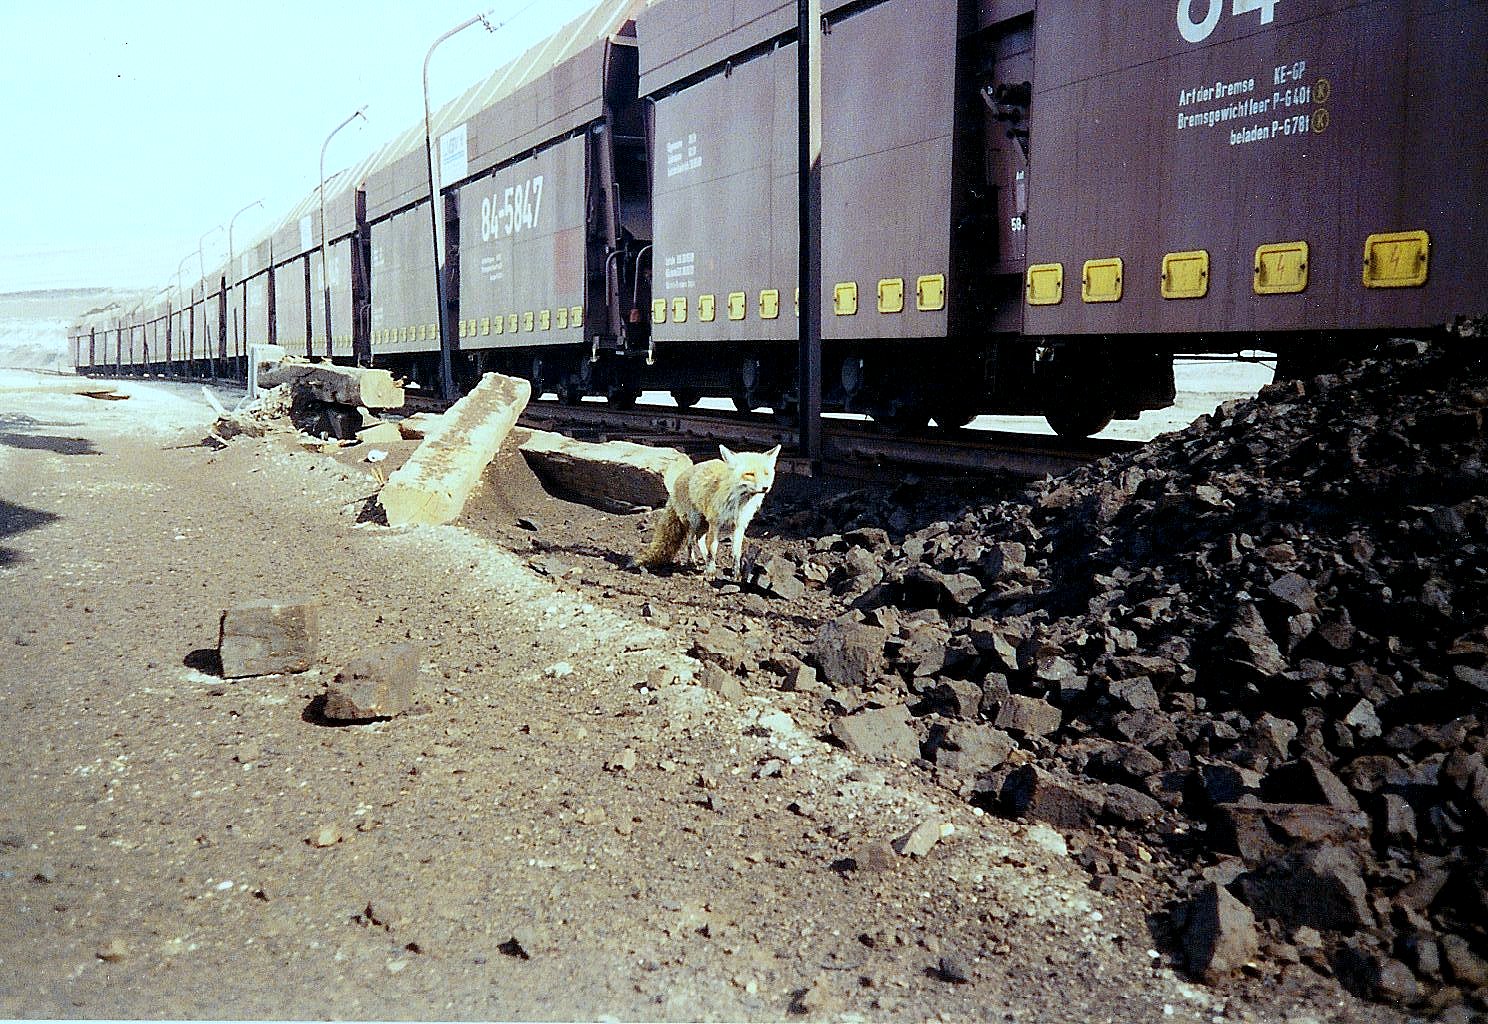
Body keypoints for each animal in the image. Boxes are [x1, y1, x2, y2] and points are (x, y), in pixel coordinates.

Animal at [636, 446, 785, 580]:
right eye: (750, 474)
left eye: (766, 473)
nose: (765, 488)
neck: (738, 504)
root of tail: (681, 476)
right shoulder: (715, 523)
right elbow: (713, 549)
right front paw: (711, 573)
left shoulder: (739, 526)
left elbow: (736, 553)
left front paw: (736, 574)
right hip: (695, 521)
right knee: (690, 541)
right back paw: (692, 562)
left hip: (703, 524)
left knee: (699, 540)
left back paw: (703, 561)